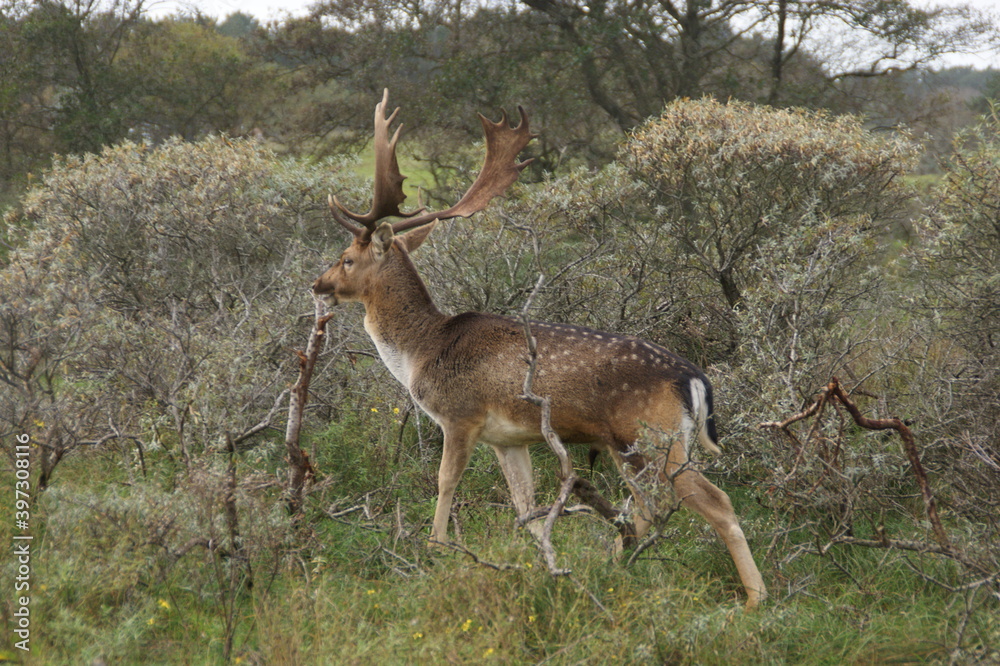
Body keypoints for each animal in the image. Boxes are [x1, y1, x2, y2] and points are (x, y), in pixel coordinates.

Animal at [313, 90, 766, 608]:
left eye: (347, 258)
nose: (317, 285)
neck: (420, 352)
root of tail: (695, 378)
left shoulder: (460, 415)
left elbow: (446, 482)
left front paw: (435, 548)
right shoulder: (509, 439)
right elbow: (525, 505)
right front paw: (537, 561)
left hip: (652, 437)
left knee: (714, 502)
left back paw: (754, 599)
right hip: (638, 445)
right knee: (651, 506)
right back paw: (616, 565)